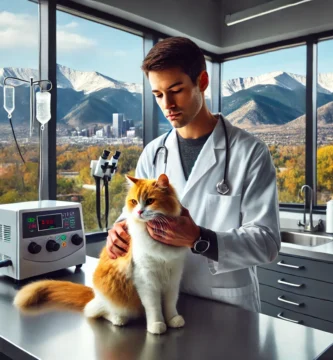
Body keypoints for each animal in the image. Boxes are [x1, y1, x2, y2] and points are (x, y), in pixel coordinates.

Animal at [13, 174, 187, 334]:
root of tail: (95, 294)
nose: (139, 211)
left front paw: (172, 319)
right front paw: (156, 325)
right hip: (117, 299)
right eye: (134, 201)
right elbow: (153, 306)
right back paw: (118, 319)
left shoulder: (173, 276)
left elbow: (170, 303)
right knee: (95, 311)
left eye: (150, 201)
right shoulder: (146, 279)